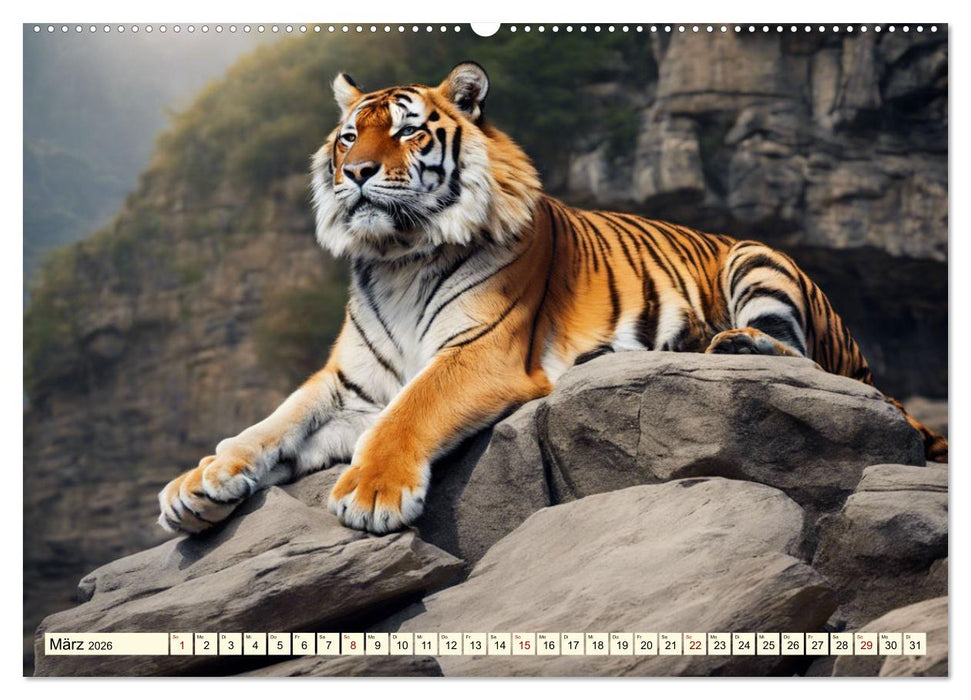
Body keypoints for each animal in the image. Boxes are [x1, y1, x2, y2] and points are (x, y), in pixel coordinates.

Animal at [158, 61, 948, 537]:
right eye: (350, 135)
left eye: (408, 130)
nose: (354, 173)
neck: (397, 258)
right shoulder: (346, 381)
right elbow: (276, 419)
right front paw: (201, 481)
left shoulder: (478, 352)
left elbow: (409, 410)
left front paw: (371, 492)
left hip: (759, 259)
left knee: (804, 361)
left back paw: (728, 342)